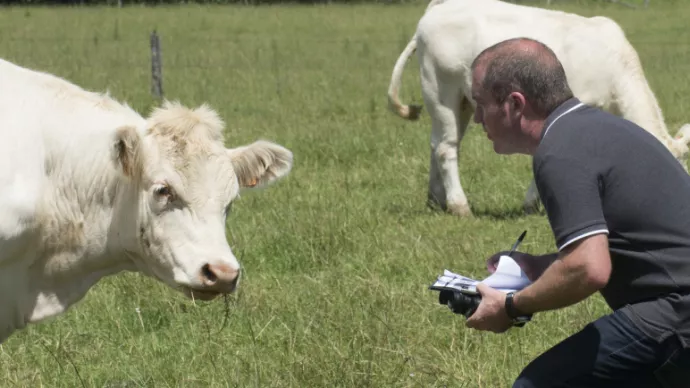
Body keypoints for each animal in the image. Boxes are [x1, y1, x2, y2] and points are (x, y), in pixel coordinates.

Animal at [384, 0, 688, 217]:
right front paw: (532, 204)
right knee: (446, 148)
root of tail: (437, 8)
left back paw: (437, 200)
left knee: (439, 143)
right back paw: (460, 207)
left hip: (462, 102)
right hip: (441, 90)